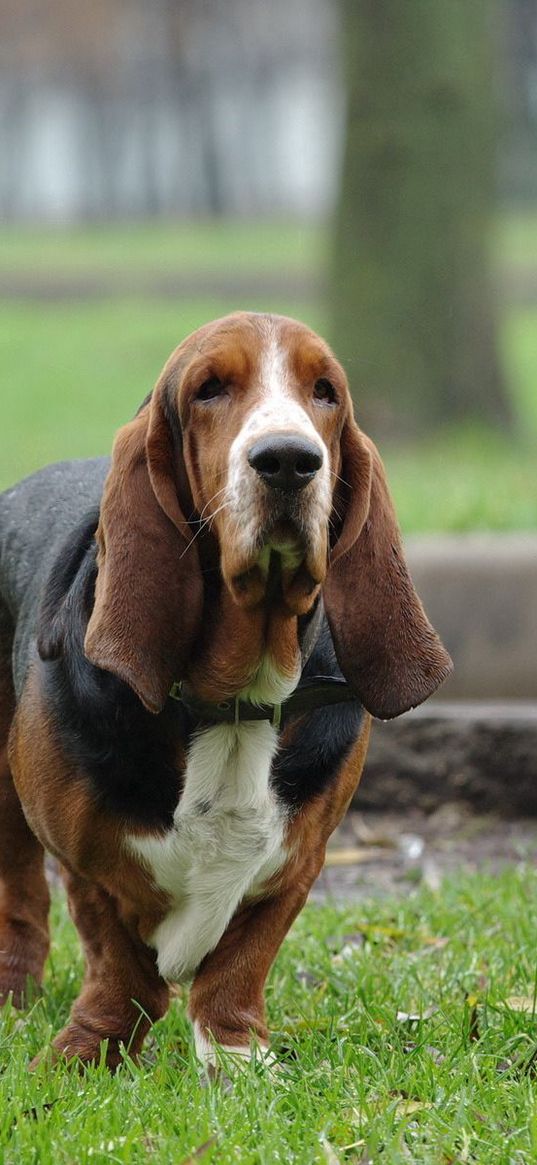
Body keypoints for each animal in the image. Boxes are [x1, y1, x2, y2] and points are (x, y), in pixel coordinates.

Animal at [0, 312, 451, 1071]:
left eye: (324, 391)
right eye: (209, 388)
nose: (289, 460)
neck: (233, 700)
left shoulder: (302, 857)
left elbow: (240, 962)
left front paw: (236, 1059)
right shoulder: (81, 858)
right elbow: (116, 961)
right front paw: (84, 1055)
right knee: (20, 897)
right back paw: (14, 997)